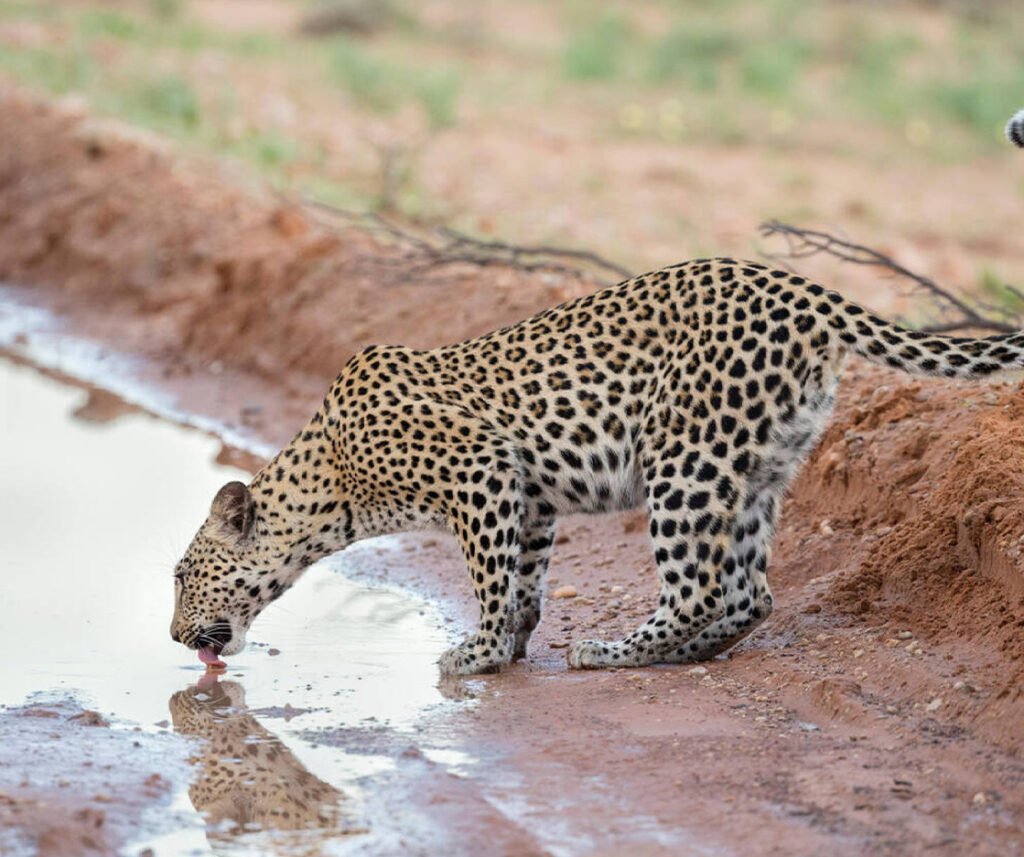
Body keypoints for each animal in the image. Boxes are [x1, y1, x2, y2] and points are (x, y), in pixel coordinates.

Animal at [170, 258, 1024, 675]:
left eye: (181, 577)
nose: (177, 637)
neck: (333, 478)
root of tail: (801, 289)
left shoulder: (480, 467)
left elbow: (489, 579)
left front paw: (479, 655)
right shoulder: (531, 496)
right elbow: (522, 579)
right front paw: (513, 643)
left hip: (684, 458)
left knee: (699, 586)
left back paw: (612, 652)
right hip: (756, 469)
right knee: (750, 593)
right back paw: (684, 653)